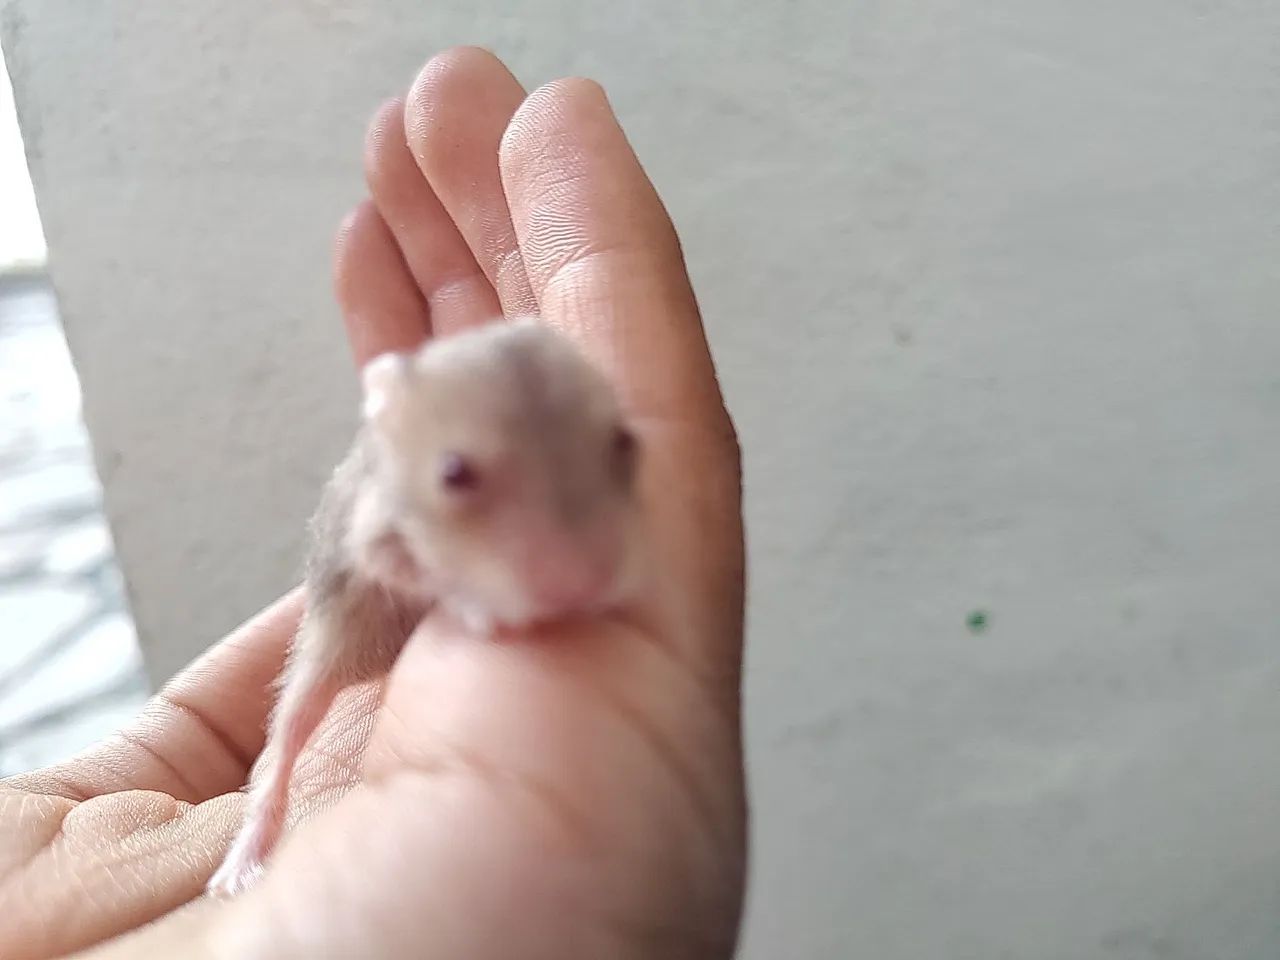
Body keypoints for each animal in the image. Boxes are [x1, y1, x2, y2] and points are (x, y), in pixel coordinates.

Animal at [206, 317, 643, 897]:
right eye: (453, 473)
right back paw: (239, 869)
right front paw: (485, 611)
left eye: (626, 442)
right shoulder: (372, 539)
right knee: (290, 734)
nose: (584, 588)